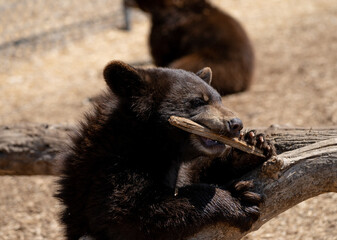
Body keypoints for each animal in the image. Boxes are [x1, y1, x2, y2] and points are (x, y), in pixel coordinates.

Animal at [55, 60, 272, 240]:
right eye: (198, 101)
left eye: (220, 99)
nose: (236, 124)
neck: (152, 142)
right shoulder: (112, 167)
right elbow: (124, 212)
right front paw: (239, 198)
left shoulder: (180, 166)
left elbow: (196, 172)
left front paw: (252, 145)